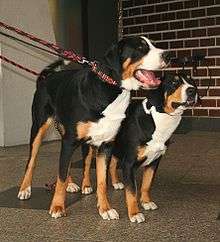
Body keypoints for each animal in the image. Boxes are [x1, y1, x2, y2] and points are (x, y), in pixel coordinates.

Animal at [17, 35, 170, 219]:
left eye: (152, 44)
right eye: (141, 48)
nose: (168, 55)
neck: (111, 91)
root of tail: (46, 78)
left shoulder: (105, 146)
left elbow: (102, 181)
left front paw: (105, 209)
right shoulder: (70, 141)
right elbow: (60, 177)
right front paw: (57, 207)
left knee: (73, 164)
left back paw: (75, 185)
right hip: (39, 128)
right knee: (32, 162)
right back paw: (25, 189)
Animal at [80, 72, 199, 223]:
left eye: (191, 82)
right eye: (174, 83)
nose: (192, 91)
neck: (157, 119)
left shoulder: (154, 161)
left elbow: (146, 184)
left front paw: (146, 202)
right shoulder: (129, 163)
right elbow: (132, 191)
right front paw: (134, 213)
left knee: (112, 164)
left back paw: (116, 182)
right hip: (90, 147)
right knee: (86, 166)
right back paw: (86, 186)